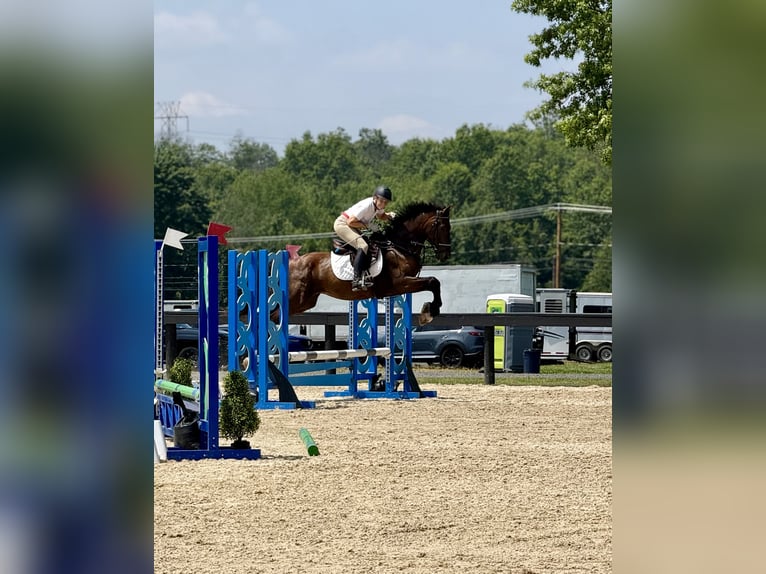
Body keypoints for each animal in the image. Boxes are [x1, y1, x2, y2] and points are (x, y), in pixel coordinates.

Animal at [287, 201, 452, 325]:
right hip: (297, 298)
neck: (399, 247)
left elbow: (434, 282)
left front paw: (430, 310)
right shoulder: (399, 283)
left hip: (306, 301)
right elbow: (432, 281)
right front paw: (429, 312)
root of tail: (293, 263)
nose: (446, 254)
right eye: (443, 227)